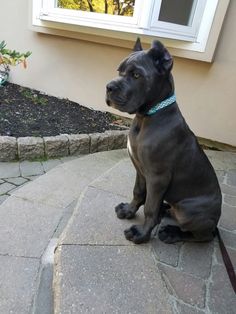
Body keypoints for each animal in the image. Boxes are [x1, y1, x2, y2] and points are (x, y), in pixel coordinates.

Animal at [106, 38, 222, 245]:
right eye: (119, 71)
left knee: (202, 236)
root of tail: (215, 223)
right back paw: (166, 210)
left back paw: (172, 232)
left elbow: (149, 207)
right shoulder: (140, 170)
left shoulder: (158, 176)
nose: (109, 87)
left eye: (136, 75)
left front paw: (141, 233)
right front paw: (128, 210)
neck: (145, 118)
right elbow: (138, 193)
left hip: (189, 210)